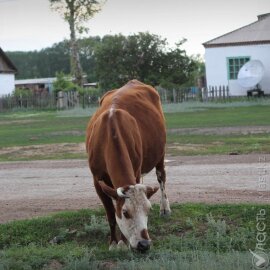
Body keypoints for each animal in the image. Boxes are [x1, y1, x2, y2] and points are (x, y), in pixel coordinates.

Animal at [86, 79, 171, 252]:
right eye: (125, 212)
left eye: (148, 210)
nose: (144, 244)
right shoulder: (97, 180)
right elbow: (111, 214)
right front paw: (114, 242)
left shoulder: (136, 171)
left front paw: (123, 242)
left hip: (161, 153)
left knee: (161, 177)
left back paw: (165, 207)